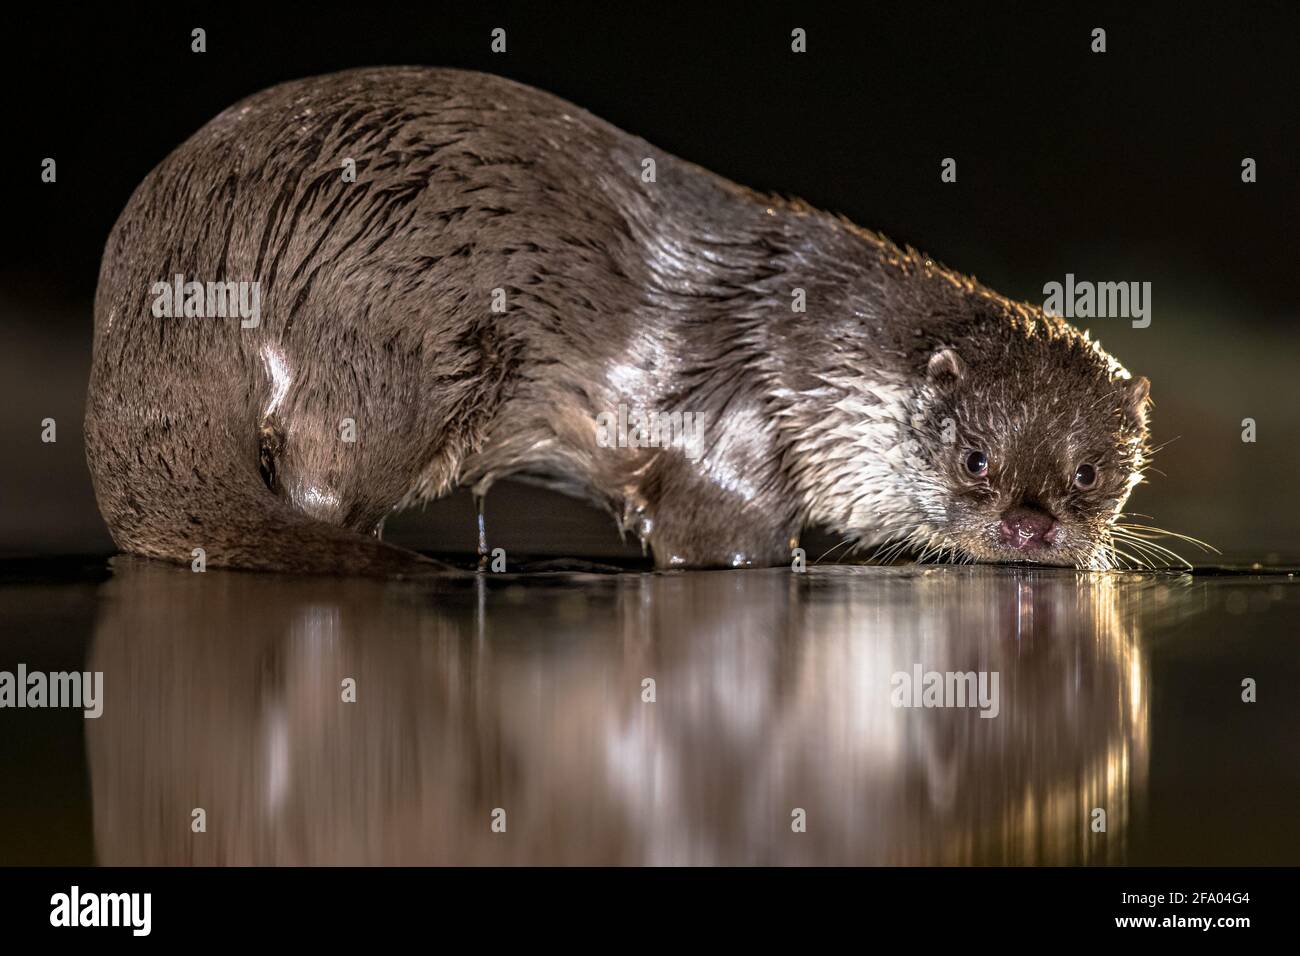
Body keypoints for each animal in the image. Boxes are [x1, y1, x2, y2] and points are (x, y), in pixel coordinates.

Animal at [86, 69, 1154, 574]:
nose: (1029, 526)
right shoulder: (733, 436)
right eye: (975, 458)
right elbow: (721, 540)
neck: (811, 356)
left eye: (1089, 473)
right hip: (386, 342)